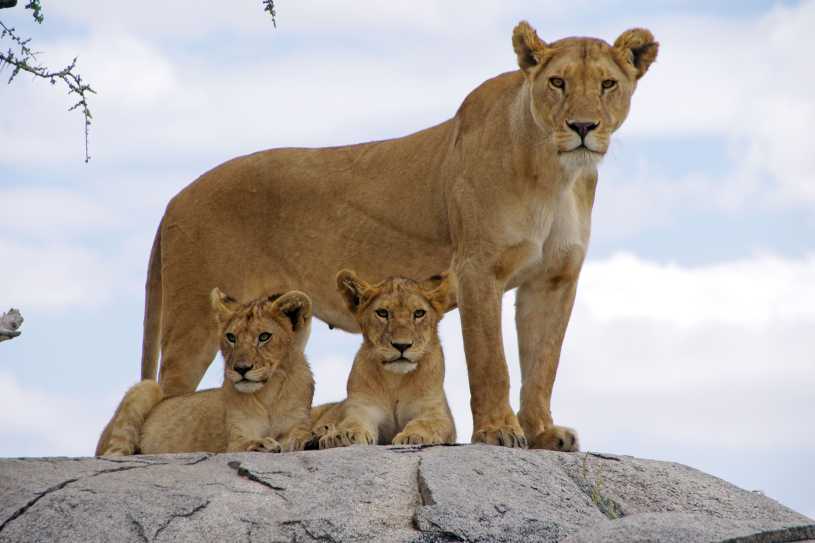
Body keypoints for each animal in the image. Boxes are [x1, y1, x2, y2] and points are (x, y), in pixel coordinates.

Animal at [96, 289, 314, 456]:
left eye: (264, 337)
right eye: (231, 337)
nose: (241, 369)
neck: (268, 393)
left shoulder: (298, 422)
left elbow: (300, 433)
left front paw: (306, 440)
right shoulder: (235, 438)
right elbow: (245, 442)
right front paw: (264, 443)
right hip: (147, 387)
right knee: (114, 453)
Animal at [311, 271, 456, 448]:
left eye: (419, 313)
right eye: (382, 313)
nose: (402, 345)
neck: (395, 380)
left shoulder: (435, 411)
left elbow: (426, 423)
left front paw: (414, 435)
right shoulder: (363, 408)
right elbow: (352, 422)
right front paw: (342, 434)